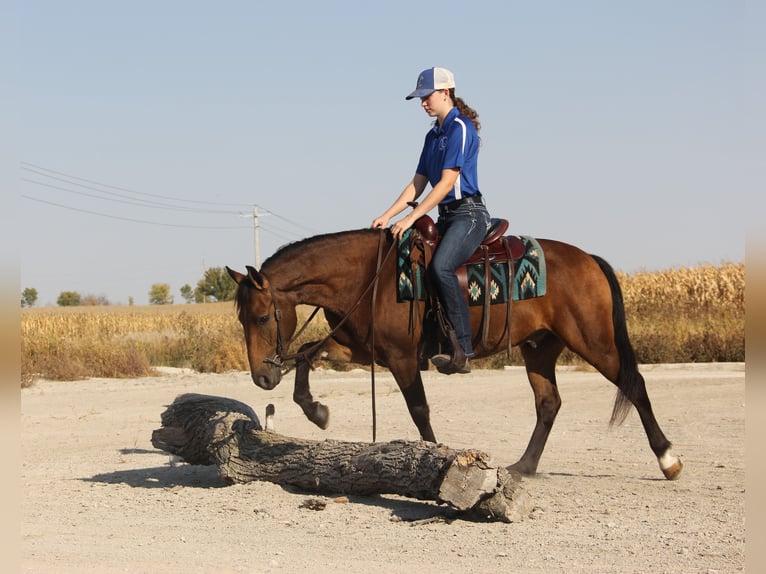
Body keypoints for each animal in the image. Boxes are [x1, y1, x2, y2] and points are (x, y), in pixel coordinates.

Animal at [226, 225, 684, 482]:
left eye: (263, 316)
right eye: (241, 319)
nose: (262, 377)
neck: (369, 278)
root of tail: (588, 259)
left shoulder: (402, 358)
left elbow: (419, 410)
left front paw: (433, 461)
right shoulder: (358, 348)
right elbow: (306, 353)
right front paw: (316, 411)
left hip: (594, 341)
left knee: (634, 385)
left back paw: (668, 459)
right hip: (539, 348)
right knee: (549, 403)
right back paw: (524, 466)